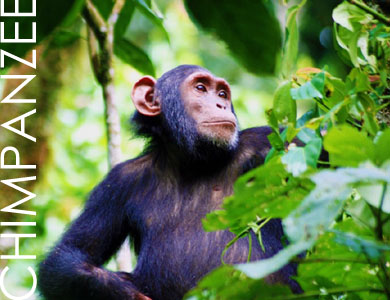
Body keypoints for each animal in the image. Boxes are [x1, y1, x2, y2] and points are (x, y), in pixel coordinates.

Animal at [38, 64, 302, 298]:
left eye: (222, 93)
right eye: (200, 88)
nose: (221, 104)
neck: (192, 162)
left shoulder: (269, 143)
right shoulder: (117, 184)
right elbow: (67, 256)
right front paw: (127, 291)